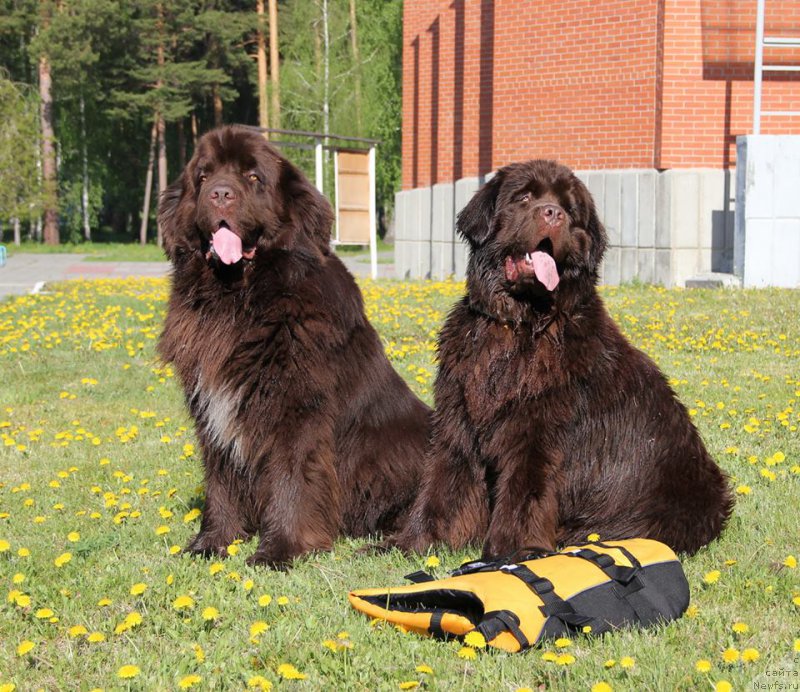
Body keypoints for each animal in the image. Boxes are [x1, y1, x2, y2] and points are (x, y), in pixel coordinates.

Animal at [157, 125, 432, 568]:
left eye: (253, 177)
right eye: (203, 176)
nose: (219, 194)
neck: (238, 301)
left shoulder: (295, 409)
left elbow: (292, 477)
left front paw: (279, 550)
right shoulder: (212, 413)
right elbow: (219, 479)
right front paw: (213, 543)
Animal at [390, 161, 736, 556]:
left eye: (569, 209)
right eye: (524, 197)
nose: (552, 214)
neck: (521, 324)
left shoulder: (538, 433)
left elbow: (523, 496)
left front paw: (512, 552)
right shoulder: (458, 419)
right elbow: (444, 486)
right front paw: (413, 542)